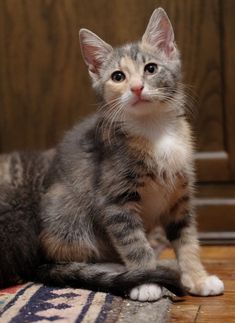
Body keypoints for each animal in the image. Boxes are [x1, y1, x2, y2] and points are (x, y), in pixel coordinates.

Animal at [0, 7, 224, 302]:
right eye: (118, 76)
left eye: (151, 69)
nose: (137, 87)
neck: (154, 130)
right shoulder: (114, 199)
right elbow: (133, 242)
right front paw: (146, 281)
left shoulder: (180, 196)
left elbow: (187, 239)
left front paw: (197, 278)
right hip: (65, 210)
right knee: (71, 256)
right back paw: (117, 269)